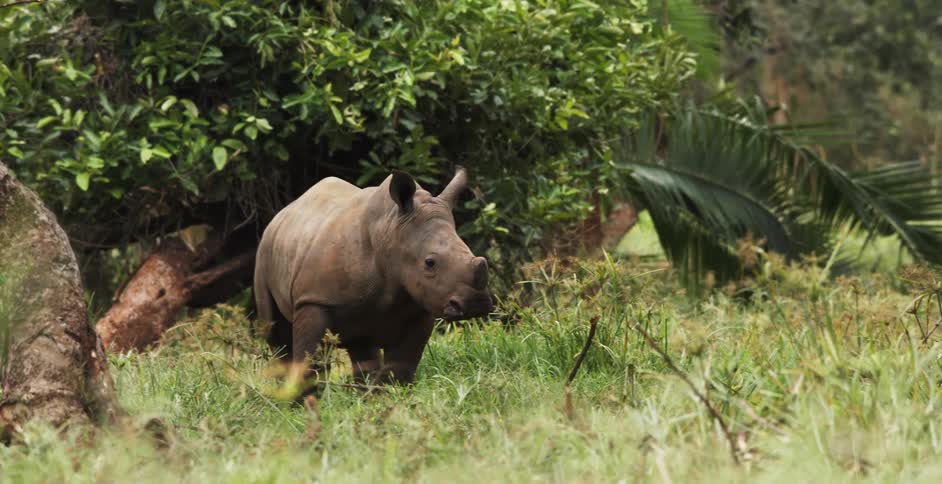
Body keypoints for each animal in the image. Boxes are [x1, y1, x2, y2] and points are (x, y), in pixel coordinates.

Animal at [254, 167, 493, 384]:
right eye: (430, 263)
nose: (476, 303)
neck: (389, 231)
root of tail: (285, 210)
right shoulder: (313, 300)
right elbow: (309, 359)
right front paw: (302, 399)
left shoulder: (421, 303)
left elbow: (402, 365)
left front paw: (393, 393)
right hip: (264, 251)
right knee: (276, 334)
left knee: (361, 346)